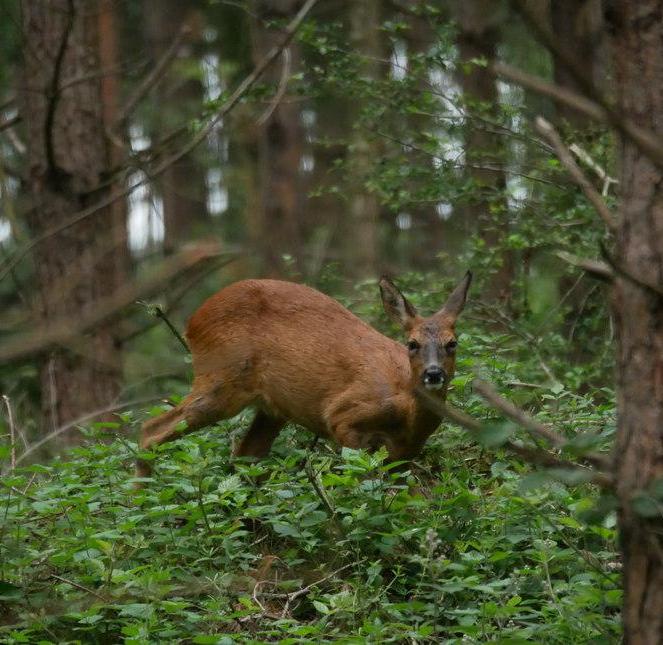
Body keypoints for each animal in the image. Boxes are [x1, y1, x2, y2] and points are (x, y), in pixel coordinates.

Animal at [135, 272, 471, 481]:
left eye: (452, 343)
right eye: (412, 344)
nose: (433, 373)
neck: (406, 415)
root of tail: (193, 322)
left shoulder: (405, 456)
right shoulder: (343, 418)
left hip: (271, 409)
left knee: (245, 455)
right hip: (221, 380)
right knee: (151, 429)